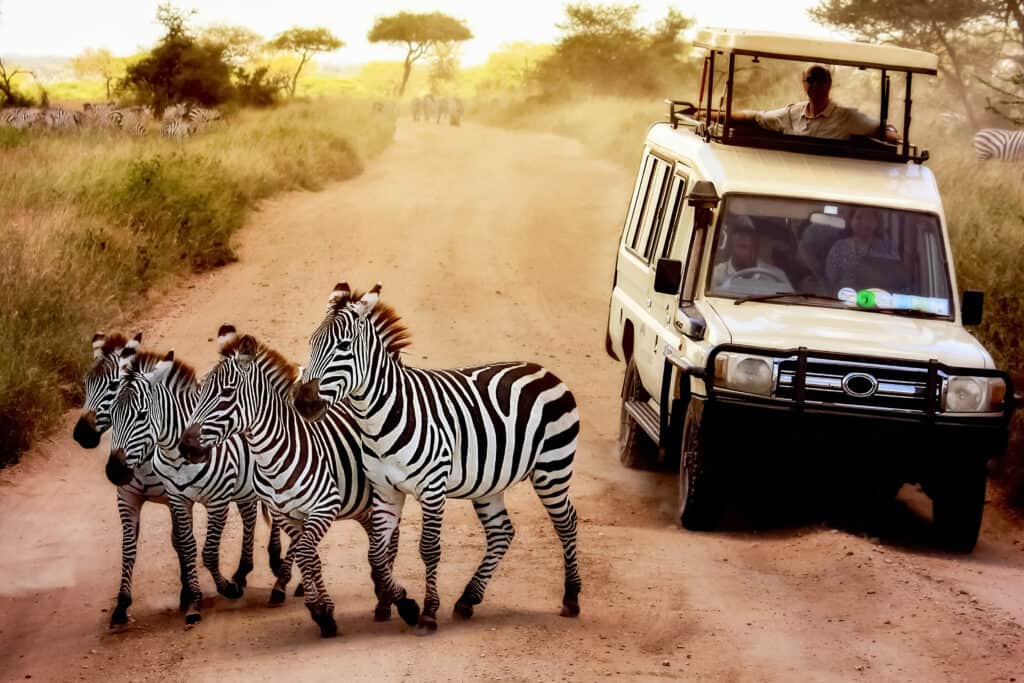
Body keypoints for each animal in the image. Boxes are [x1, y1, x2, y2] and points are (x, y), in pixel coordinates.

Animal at [74, 333, 284, 626]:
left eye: (112, 386)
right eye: (85, 384)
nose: (82, 435)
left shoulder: (205, 499)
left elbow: (198, 548)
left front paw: (201, 592)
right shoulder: (136, 498)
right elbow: (143, 547)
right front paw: (123, 605)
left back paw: (276, 569)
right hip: (244, 487)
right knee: (250, 515)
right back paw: (243, 571)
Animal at [180, 325, 415, 634]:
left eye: (227, 393)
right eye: (199, 392)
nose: (186, 447)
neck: (273, 457)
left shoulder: (324, 507)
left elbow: (305, 553)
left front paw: (321, 610)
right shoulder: (286, 515)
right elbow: (310, 556)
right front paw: (323, 611)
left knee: (391, 540)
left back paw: (388, 601)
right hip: (362, 504)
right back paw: (382, 594)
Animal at [296, 282, 585, 630]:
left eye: (344, 346)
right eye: (311, 343)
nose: (303, 402)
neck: (382, 417)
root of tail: (544, 370)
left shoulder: (433, 487)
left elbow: (429, 549)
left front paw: (428, 611)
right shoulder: (385, 490)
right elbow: (376, 554)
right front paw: (405, 603)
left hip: (552, 469)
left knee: (566, 522)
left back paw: (571, 597)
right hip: (491, 483)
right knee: (502, 532)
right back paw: (468, 599)